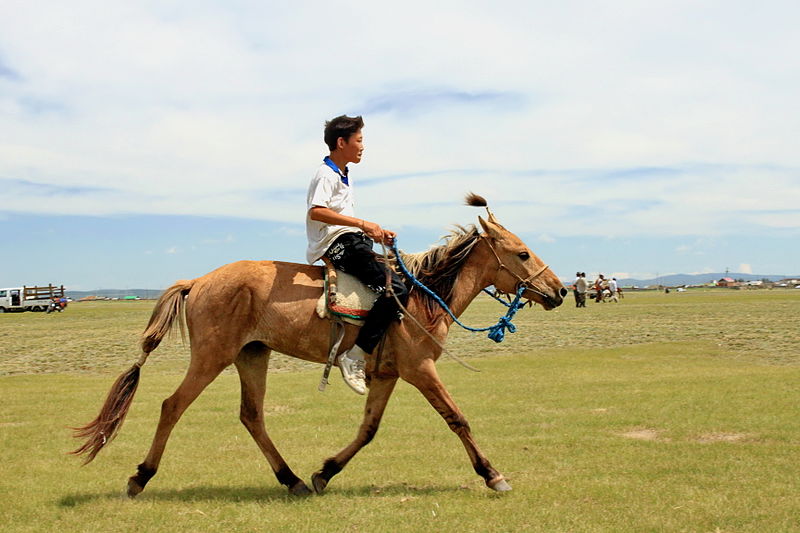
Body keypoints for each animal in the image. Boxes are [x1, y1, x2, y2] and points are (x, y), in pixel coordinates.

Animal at [72, 194, 564, 494]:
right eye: (523, 253)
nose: (559, 291)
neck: (421, 298)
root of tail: (198, 280)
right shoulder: (420, 370)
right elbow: (458, 419)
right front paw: (493, 475)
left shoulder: (387, 374)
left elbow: (367, 430)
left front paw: (325, 471)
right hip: (212, 357)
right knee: (172, 406)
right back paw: (141, 477)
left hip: (252, 355)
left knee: (251, 416)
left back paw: (291, 478)